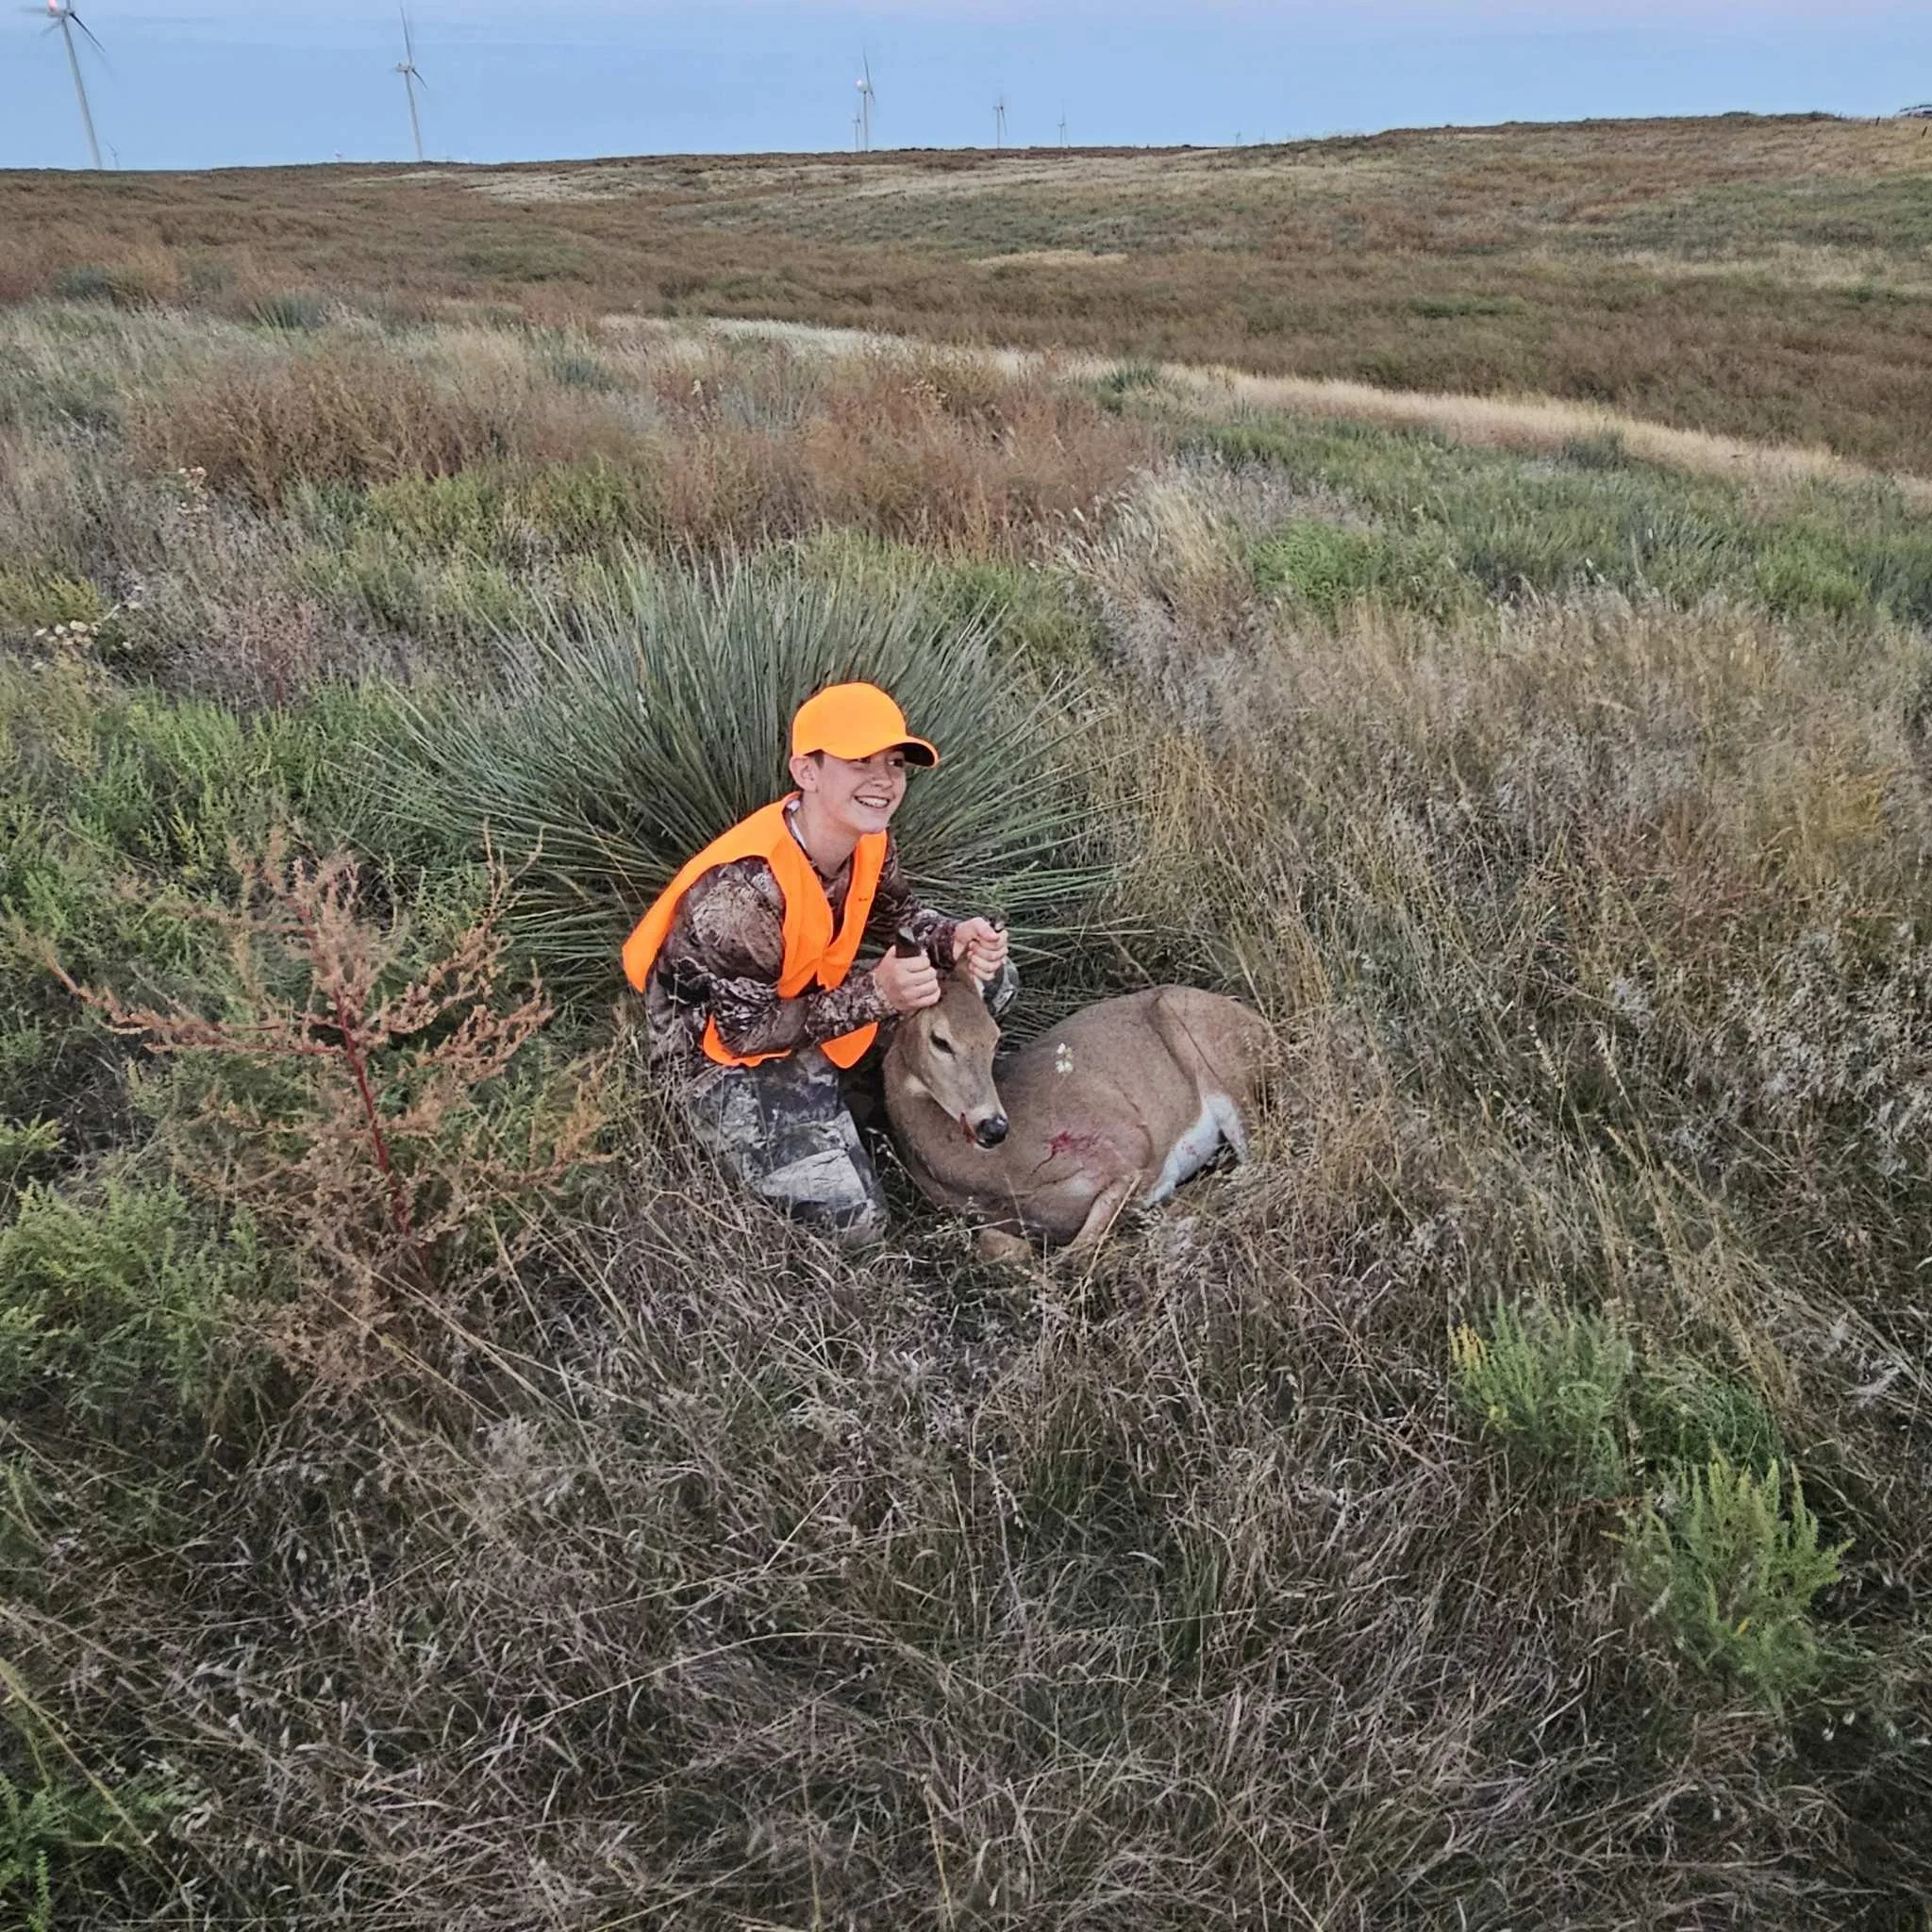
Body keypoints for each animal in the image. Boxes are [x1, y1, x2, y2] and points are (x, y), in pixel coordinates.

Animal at [882, 964, 1271, 1252]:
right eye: (940, 1039)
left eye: (994, 1037)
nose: (993, 1126)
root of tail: (1259, 1023)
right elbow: (997, 1244)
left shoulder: (1131, 1147)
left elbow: (1076, 1253)